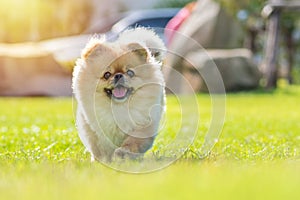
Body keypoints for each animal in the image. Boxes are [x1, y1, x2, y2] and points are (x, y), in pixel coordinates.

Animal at [72, 27, 166, 162]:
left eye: (130, 73)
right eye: (106, 74)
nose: (118, 75)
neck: (119, 107)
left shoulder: (143, 125)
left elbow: (133, 142)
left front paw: (124, 154)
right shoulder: (95, 129)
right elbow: (100, 147)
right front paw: (104, 161)